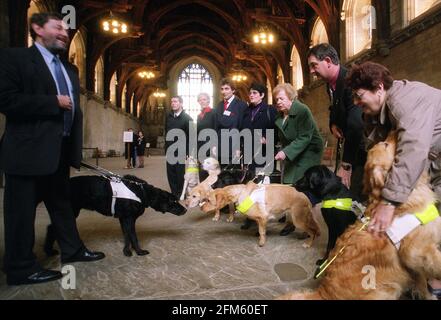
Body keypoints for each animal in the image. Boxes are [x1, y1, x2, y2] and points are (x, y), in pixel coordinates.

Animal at [45, 175, 186, 258]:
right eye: (173, 201)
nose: (185, 209)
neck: (142, 192)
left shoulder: (123, 219)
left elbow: (127, 236)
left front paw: (127, 251)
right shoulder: (129, 219)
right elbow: (133, 237)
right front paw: (139, 252)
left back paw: (49, 251)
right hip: (71, 211)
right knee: (53, 228)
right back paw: (49, 251)